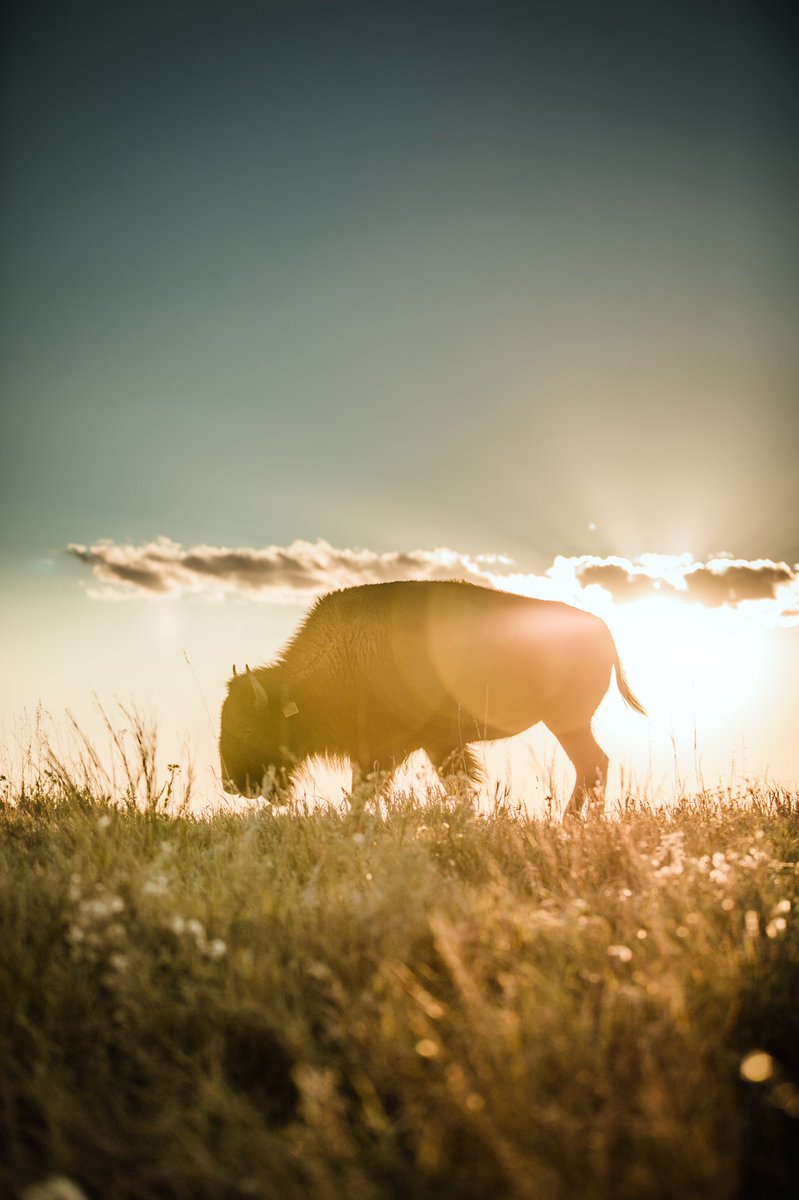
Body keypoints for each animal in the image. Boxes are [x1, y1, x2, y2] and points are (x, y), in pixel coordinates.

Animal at [219, 579, 645, 818]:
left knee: (593, 764)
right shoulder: (431, 747)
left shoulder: (396, 750)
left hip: (566, 722)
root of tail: (602, 628)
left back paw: (574, 823)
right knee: (593, 766)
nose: (230, 785)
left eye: (247, 726)